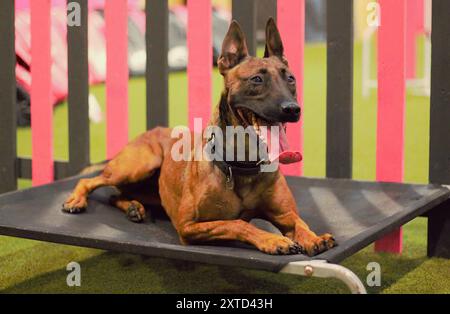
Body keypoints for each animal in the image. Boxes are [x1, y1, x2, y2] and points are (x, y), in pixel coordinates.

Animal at [62, 18, 334, 256]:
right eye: (257, 79)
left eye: (291, 79)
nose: (292, 109)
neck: (241, 165)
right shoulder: (189, 226)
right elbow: (239, 223)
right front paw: (273, 240)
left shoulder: (283, 214)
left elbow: (298, 222)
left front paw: (313, 237)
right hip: (139, 165)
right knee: (90, 180)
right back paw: (77, 200)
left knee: (115, 195)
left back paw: (133, 206)